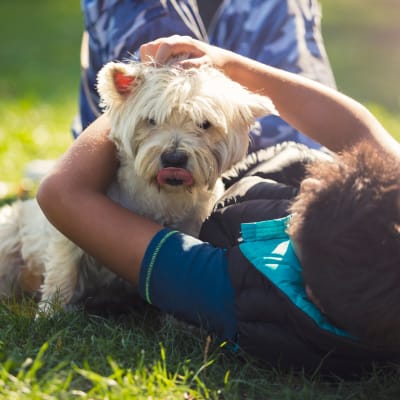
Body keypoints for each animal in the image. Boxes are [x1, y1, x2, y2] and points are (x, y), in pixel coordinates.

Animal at [0, 60, 276, 312]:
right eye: (151, 120)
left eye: (204, 124)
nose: (174, 158)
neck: (163, 195)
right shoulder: (66, 229)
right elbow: (63, 272)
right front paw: (50, 314)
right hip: (10, 230)